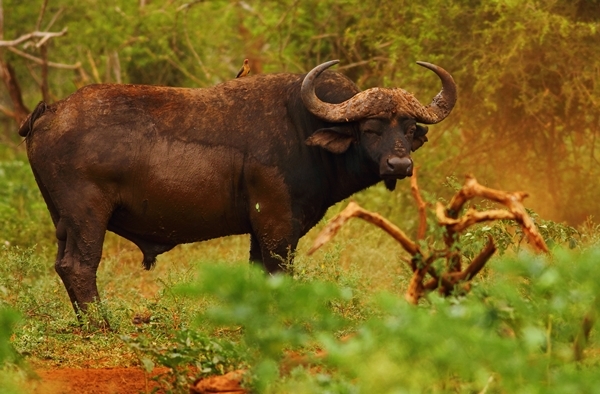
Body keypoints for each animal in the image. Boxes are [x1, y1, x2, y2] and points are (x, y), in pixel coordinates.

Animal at [21, 59, 458, 318]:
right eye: (370, 128)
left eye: (407, 128)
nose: (399, 165)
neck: (303, 128)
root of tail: (50, 112)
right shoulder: (279, 226)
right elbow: (280, 272)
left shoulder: (259, 230)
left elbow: (258, 273)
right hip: (87, 216)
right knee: (80, 266)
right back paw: (102, 325)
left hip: (63, 221)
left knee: (64, 266)